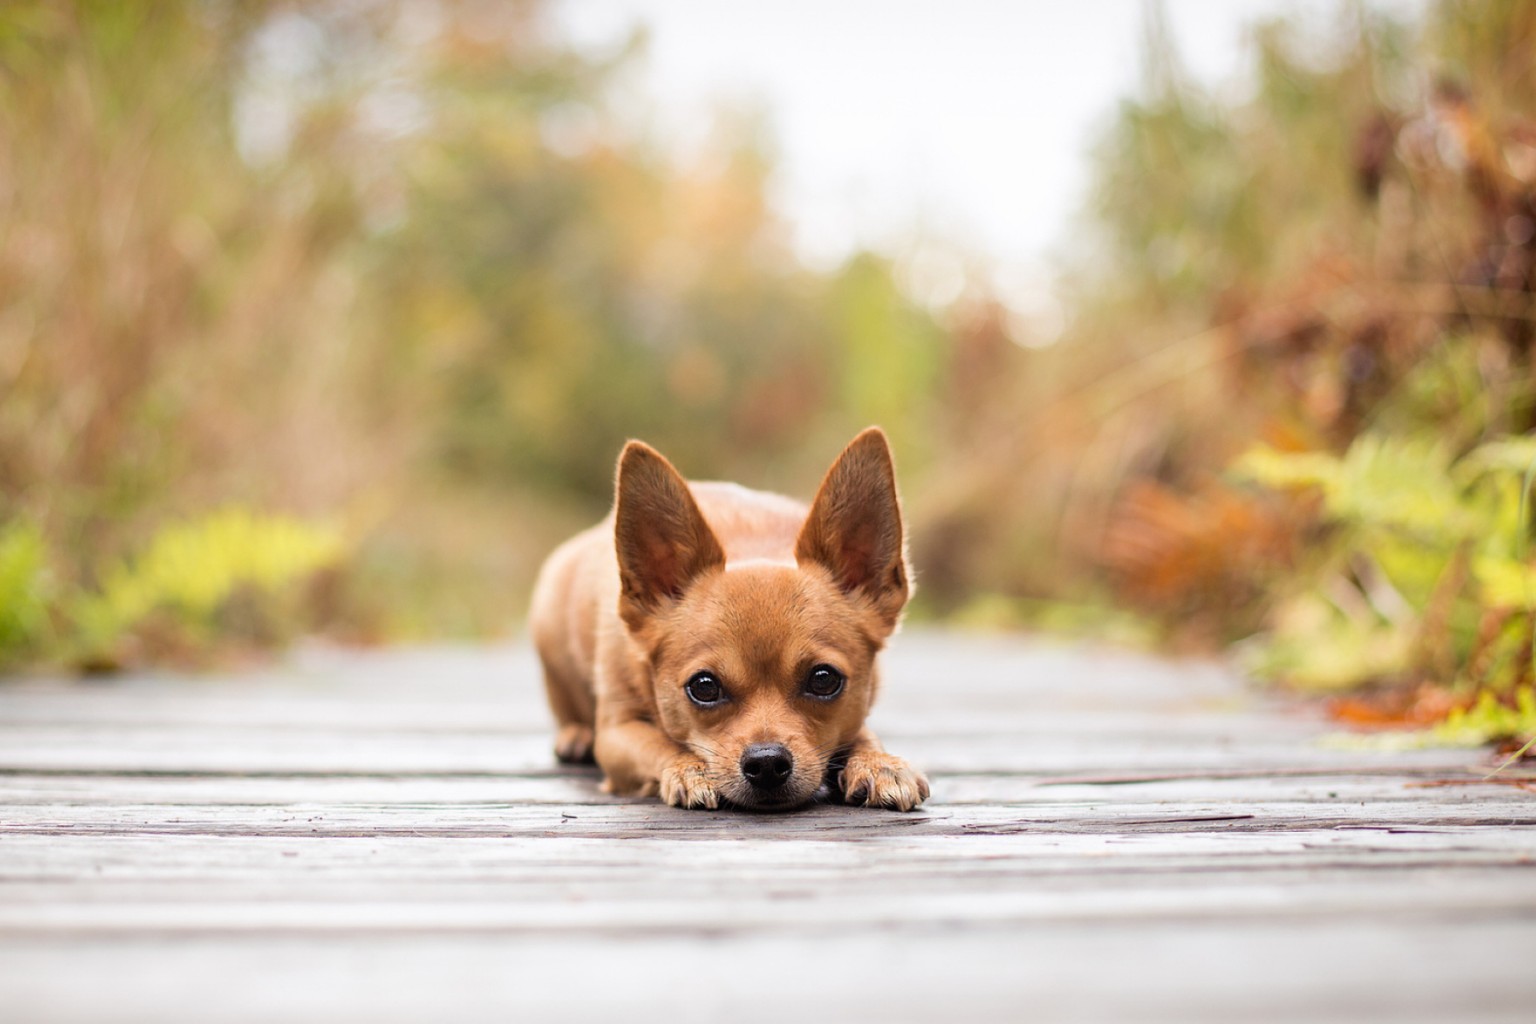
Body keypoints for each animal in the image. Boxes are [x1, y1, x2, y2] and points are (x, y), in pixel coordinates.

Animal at [528, 429, 927, 810]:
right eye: (704, 686)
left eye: (824, 679)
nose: (767, 762)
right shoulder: (617, 734)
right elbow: (662, 744)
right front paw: (690, 769)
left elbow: (862, 732)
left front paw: (879, 763)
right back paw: (576, 736)